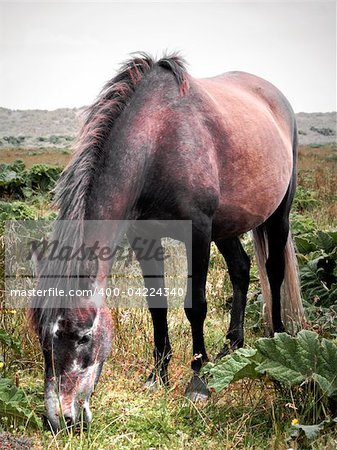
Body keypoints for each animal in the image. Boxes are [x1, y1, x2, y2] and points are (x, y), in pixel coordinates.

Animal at [28, 54, 304, 430]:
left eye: (83, 336)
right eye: (42, 337)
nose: (62, 420)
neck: (158, 140)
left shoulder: (198, 232)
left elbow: (195, 306)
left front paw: (198, 382)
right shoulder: (144, 235)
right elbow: (156, 305)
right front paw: (157, 376)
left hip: (278, 216)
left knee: (273, 273)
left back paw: (276, 339)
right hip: (228, 227)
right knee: (241, 269)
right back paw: (231, 347)